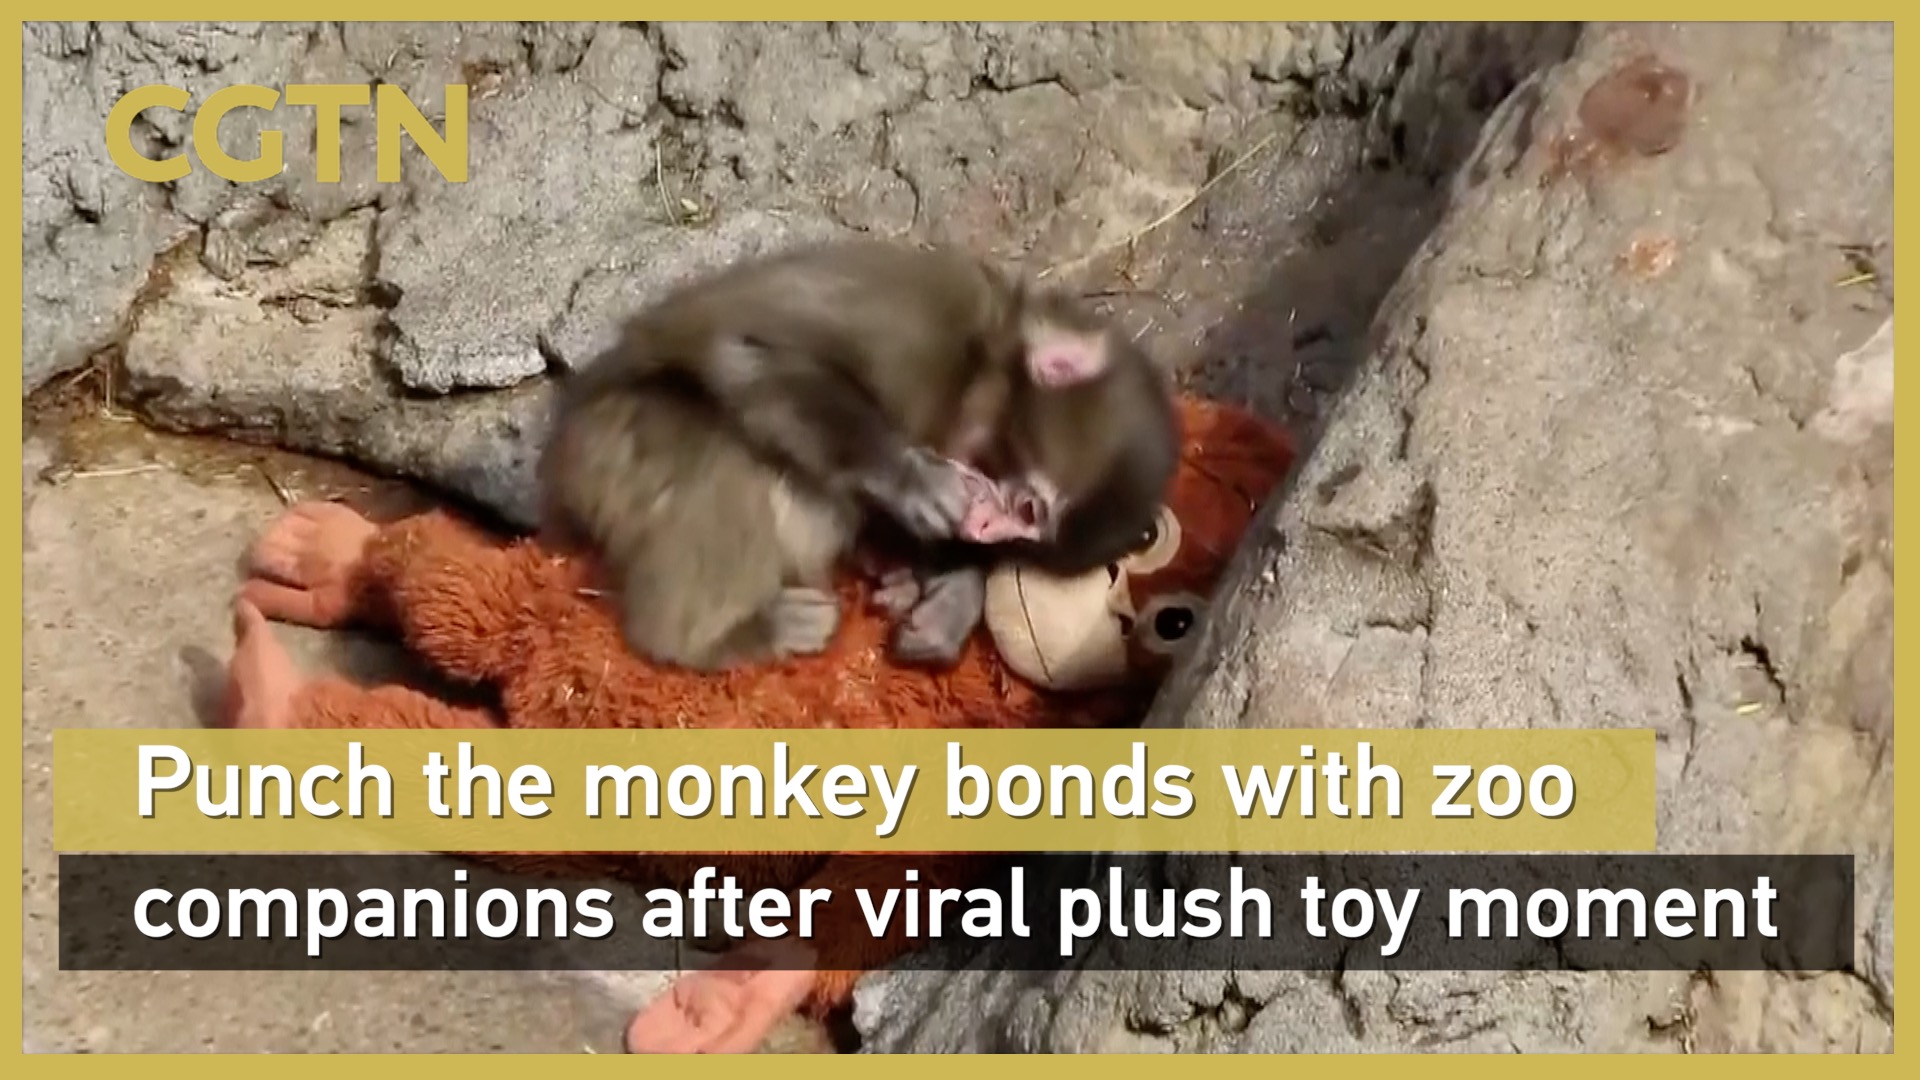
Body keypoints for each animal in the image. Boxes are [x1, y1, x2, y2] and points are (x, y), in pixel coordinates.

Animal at [537, 237, 1181, 672]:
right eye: (1028, 509)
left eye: (1025, 536)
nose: (985, 530)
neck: (976, 370)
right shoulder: (920, 318)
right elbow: (747, 345)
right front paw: (909, 478)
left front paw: (948, 595)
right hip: (610, 445)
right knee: (713, 459)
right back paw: (716, 636)